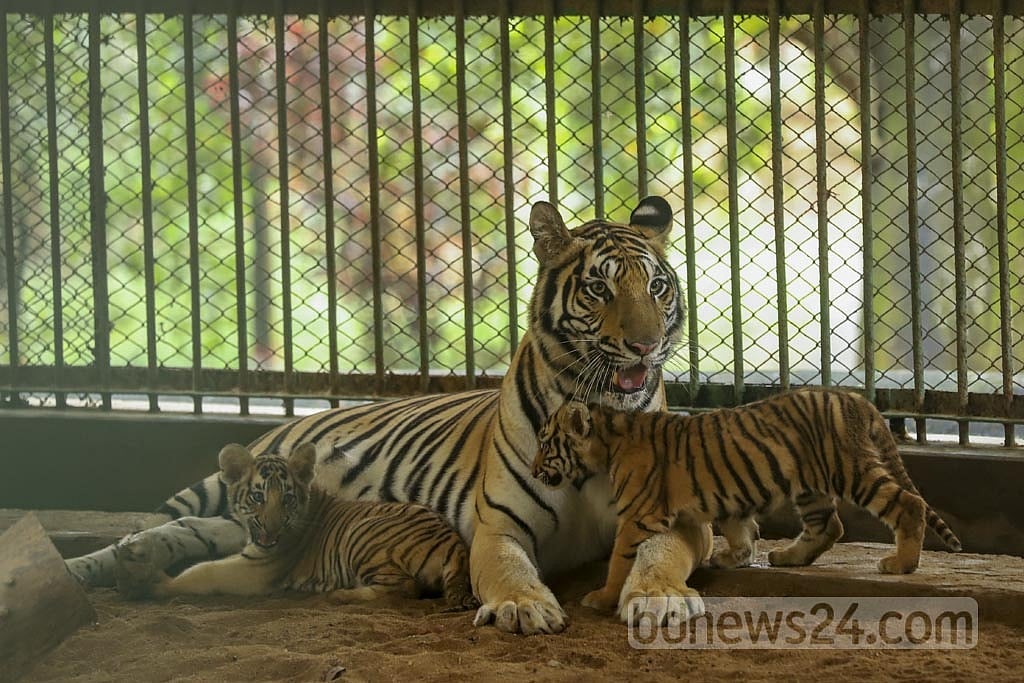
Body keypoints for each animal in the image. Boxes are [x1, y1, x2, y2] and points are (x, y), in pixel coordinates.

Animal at [114, 442, 479, 611]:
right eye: (258, 496)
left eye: (288, 499)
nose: (273, 531)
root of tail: (456, 547)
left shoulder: (255, 568)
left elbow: (201, 573)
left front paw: (148, 583)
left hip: (363, 540)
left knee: (403, 589)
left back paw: (338, 594)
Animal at [532, 390, 963, 612]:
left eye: (545, 445)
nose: (534, 470)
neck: (608, 440)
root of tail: (858, 398)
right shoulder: (726, 499)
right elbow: (739, 529)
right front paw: (732, 557)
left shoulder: (638, 515)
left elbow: (620, 560)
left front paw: (602, 597)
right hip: (811, 485)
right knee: (828, 525)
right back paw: (787, 557)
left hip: (851, 470)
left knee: (908, 503)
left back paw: (902, 564)